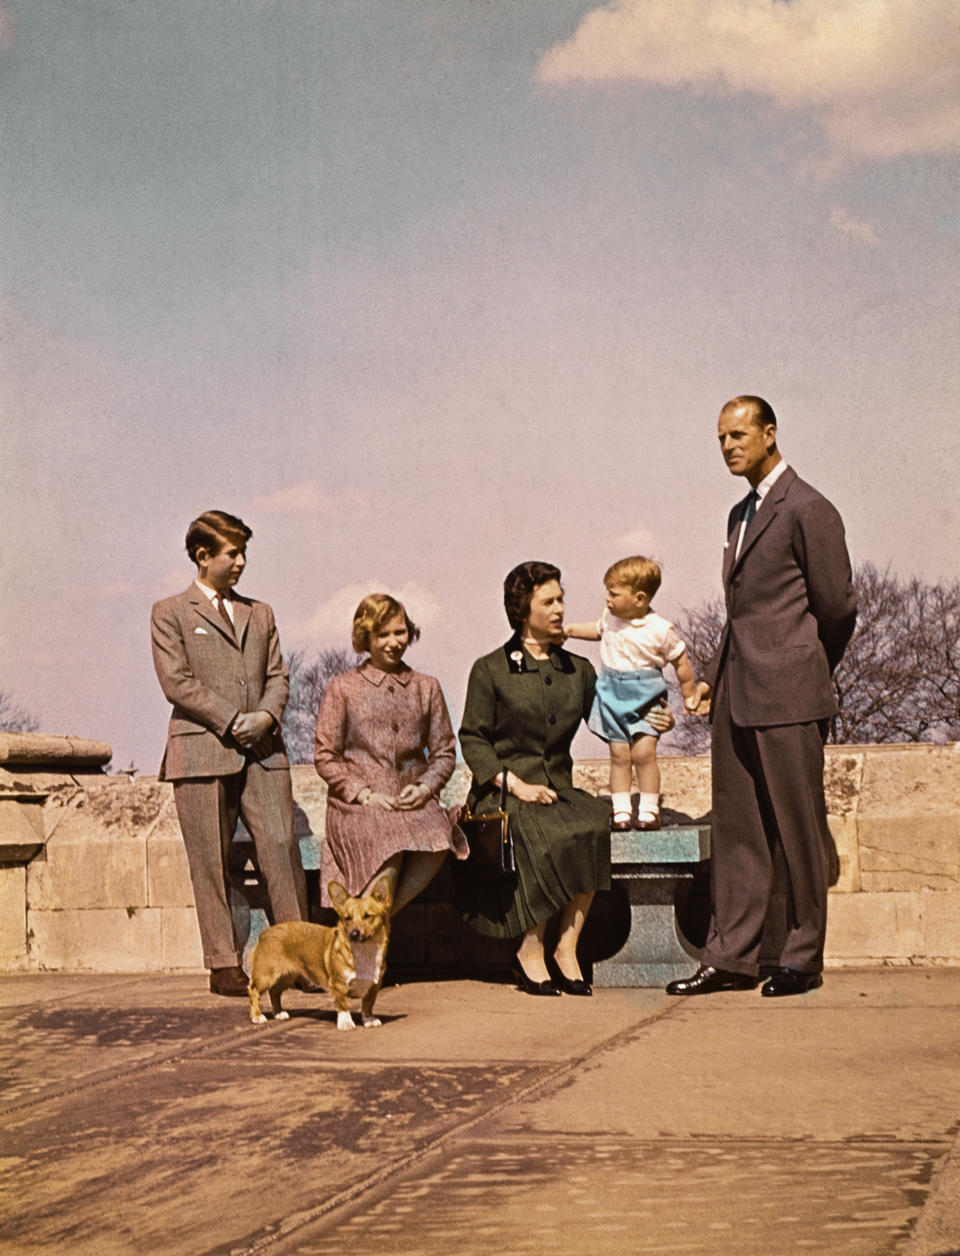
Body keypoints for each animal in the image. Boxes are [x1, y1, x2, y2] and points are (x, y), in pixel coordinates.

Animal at [251, 874, 397, 1029]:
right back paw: (257, 1016)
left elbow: (368, 1004)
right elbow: (343, 1005)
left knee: (274, 992)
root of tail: (265, 933)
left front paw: (369, 1020)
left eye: (368, 916)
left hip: (288, 976)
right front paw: (345, 1023)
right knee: (253, 991)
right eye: (347, 918)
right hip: (266, 976)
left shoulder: (374, 986)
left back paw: (279, 1013)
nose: (353, 934)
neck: (365, 950)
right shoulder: (338, 984)